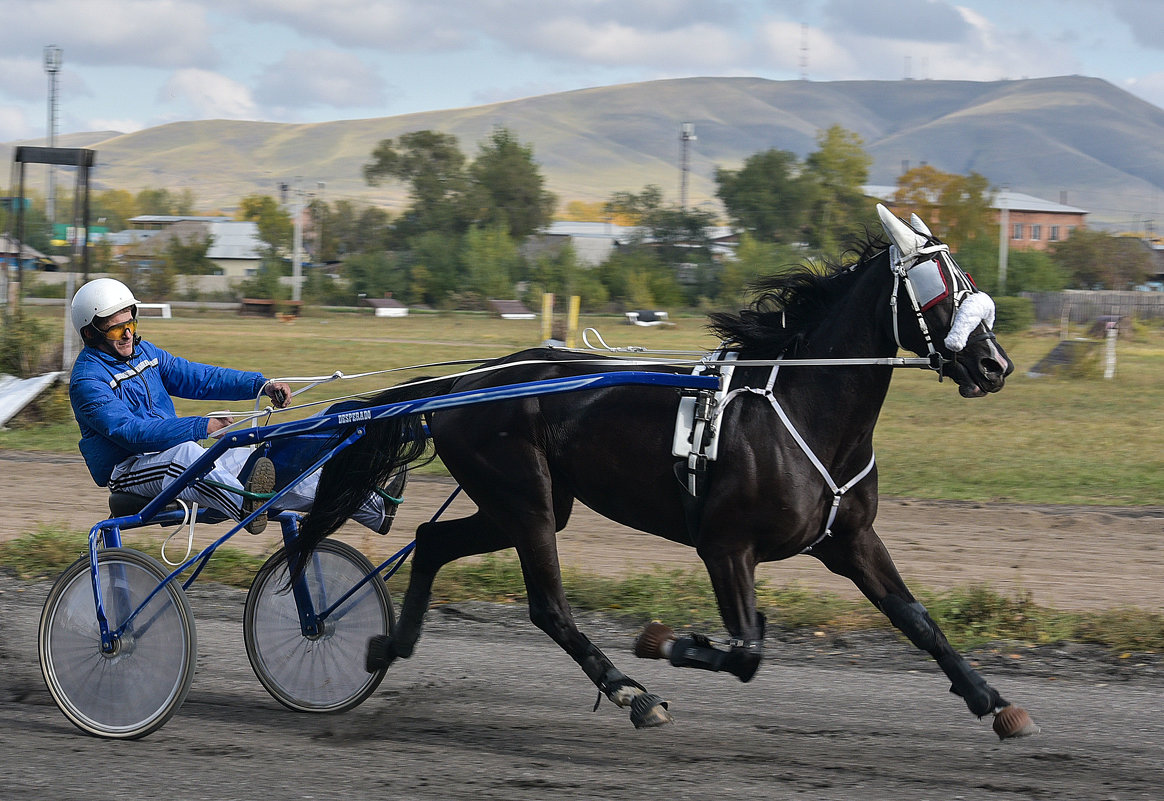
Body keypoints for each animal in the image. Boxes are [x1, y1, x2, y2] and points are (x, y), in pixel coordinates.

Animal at [288, 204, 1038, 740]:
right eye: (938, 287)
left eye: (967, 280)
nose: (995, 364)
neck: (802, 410)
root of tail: (461, 384)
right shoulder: (726, 546)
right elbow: (747, 650)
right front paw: (666, 643)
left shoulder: (849, 539)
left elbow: (917, 619)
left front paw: (993, 700)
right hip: (525, 499)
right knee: (548, 605)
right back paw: (632, 692)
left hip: (527, 502)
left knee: (435, 542)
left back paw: (389, 644)